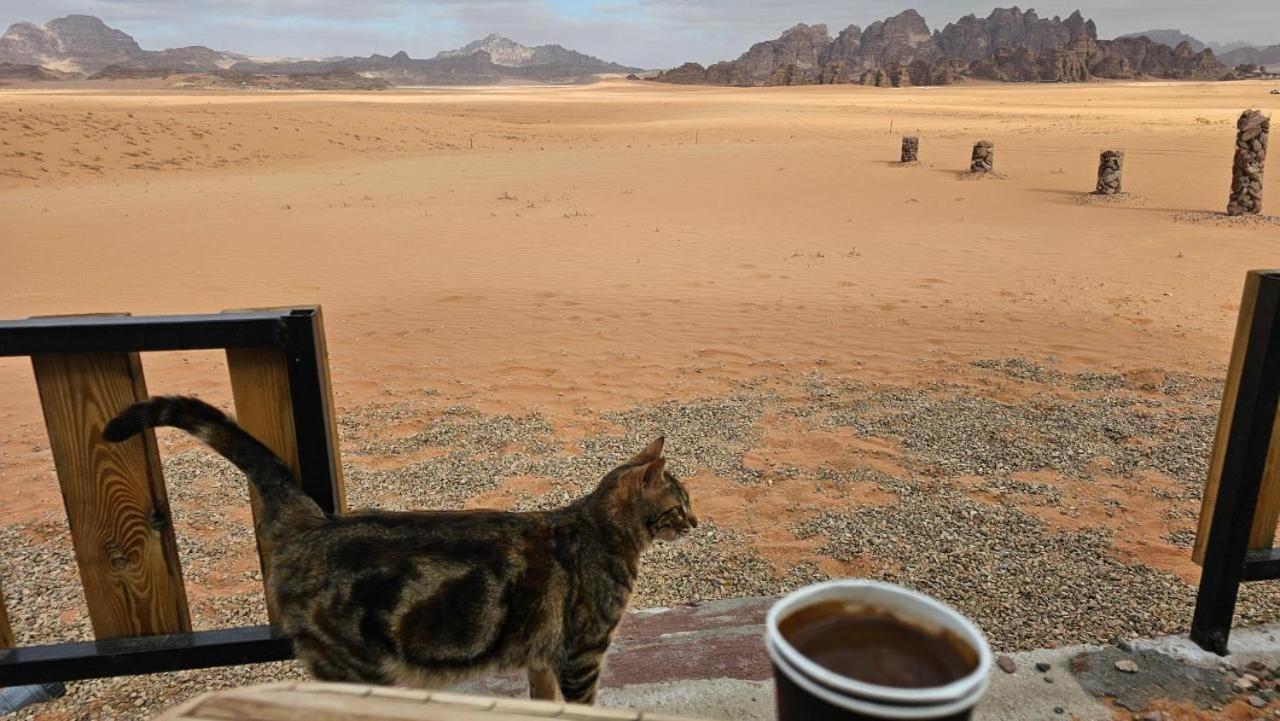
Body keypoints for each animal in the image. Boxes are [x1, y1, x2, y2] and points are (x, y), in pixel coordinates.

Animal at [103, 394, 696, 706]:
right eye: (681, 503)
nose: (697, 520)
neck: (600, 530)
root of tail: (310, 523)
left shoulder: (543, 659)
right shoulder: (582, 655)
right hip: (356, 670)